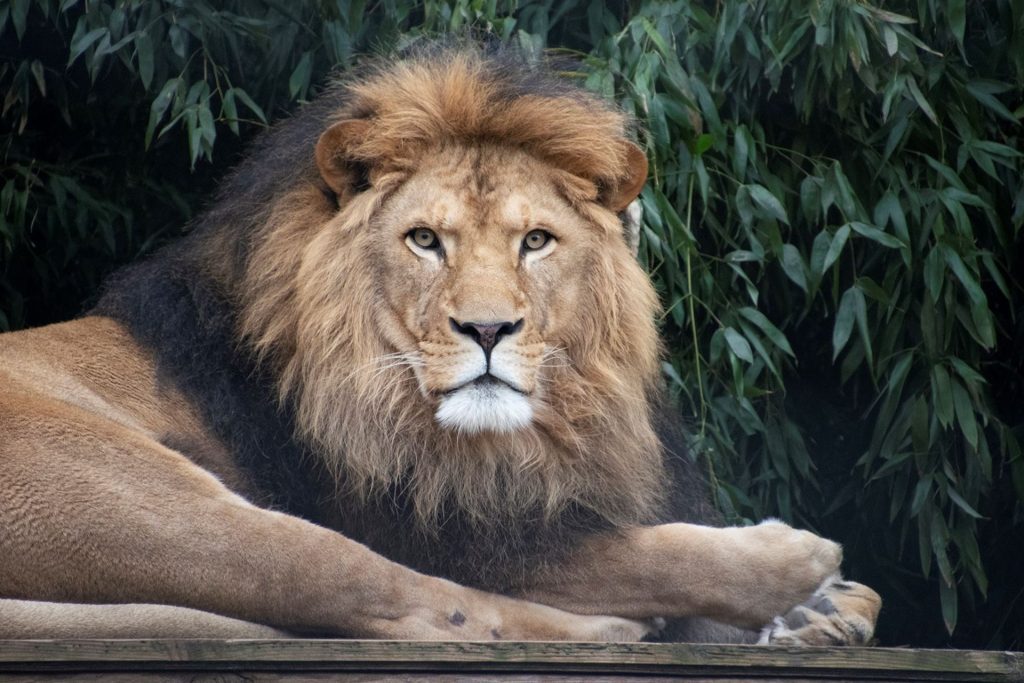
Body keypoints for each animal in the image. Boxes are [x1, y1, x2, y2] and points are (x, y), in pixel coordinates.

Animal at [0, 45, 880, 643]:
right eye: (425, 239)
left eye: (536, 241)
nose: (487, 330)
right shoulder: (448, 523)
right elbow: (642, 557)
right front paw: (801, 571)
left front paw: (822, 609)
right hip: (134, 494)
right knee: (388, 592)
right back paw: (618, 631)